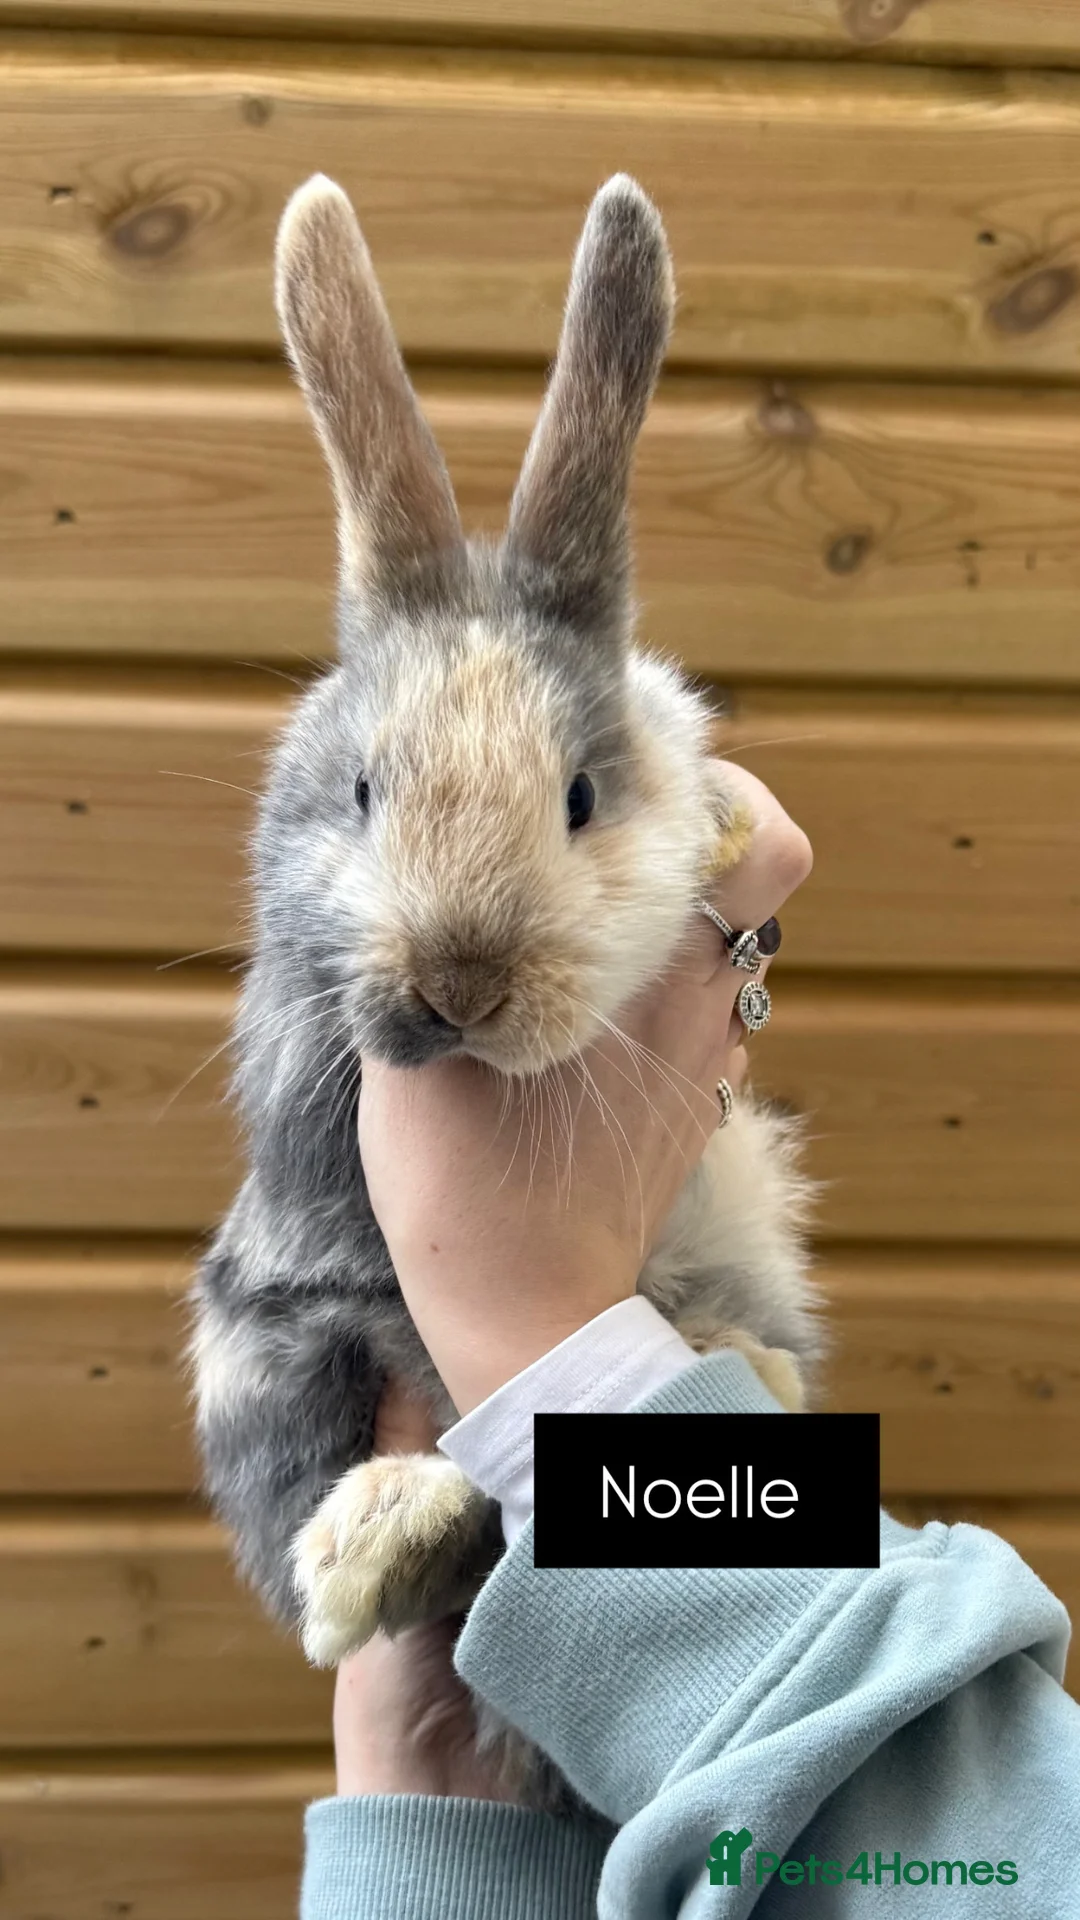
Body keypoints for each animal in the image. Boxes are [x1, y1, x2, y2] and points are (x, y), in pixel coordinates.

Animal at [190, 172, 823, 1797]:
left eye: (583, 797)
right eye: (362, 791)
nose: (458, 981)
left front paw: (717, 828)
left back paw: (741, 1368)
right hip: (263, 1348)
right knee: (359, 1555)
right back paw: (380, 1537)